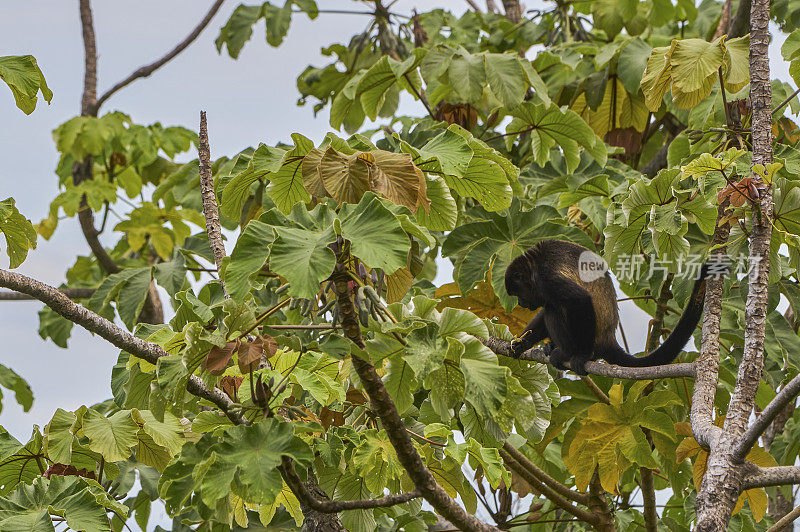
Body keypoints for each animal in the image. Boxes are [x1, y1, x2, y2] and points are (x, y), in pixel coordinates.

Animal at [504, 240, 716, 374]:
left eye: (518, 294)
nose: (521, 303)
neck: (533, 266)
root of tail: (608, 338)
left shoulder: (546, 278)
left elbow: (579, 299)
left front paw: (582, 356)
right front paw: (521, 343)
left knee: (554, 310)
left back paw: (567, 353)